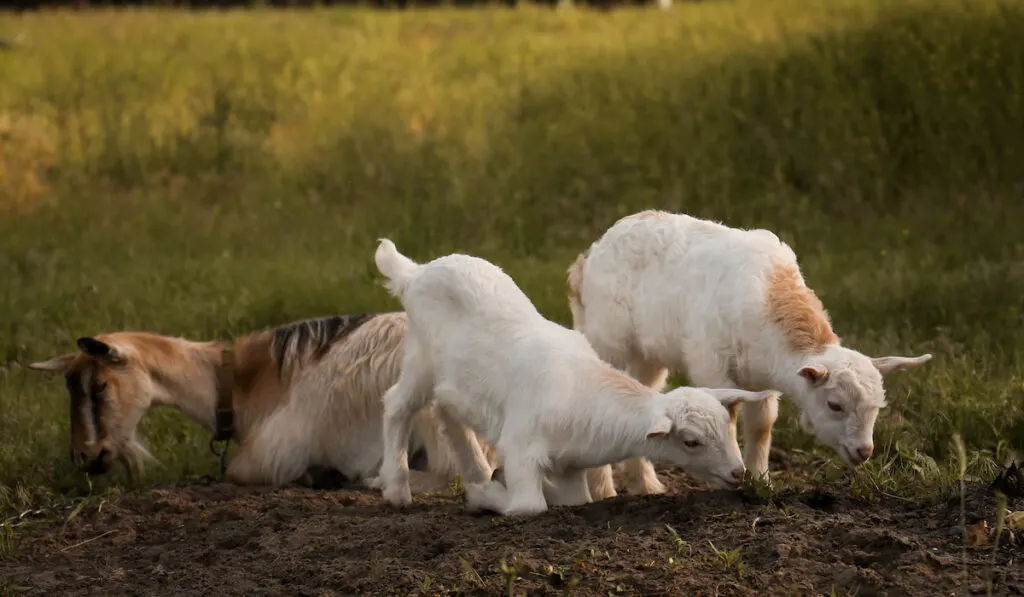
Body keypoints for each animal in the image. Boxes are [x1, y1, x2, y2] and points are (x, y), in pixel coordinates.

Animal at [30, 313, 495, 491]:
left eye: (100, 386)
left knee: (468, 475)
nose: (84, 456)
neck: (237, 384)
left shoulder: (270, 453)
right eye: (69, 388)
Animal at [372, 239, 778, 518]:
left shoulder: (569, 465)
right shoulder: (519, 446)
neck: (581, 396)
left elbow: (574, 499)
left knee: (447, 412)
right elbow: (528, 506)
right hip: (420, 358)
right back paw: (397, 489)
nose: (738, 473)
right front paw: (484, 496)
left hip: (452, 381)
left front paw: (498, 485)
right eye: (691, 441)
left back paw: (477, 470)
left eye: (727, 426)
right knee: (395, 405)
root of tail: (415, 272)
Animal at [569, 209, 937, 499]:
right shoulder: (712, 365)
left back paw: (645, 485)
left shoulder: (764, 378)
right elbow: (728, 417)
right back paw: (604, 491)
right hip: (607, 340)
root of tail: (588, 256)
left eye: (878, 407)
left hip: (647, 356)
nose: (864, 451)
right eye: (834, 405)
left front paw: (760, 482)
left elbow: (762, 424)